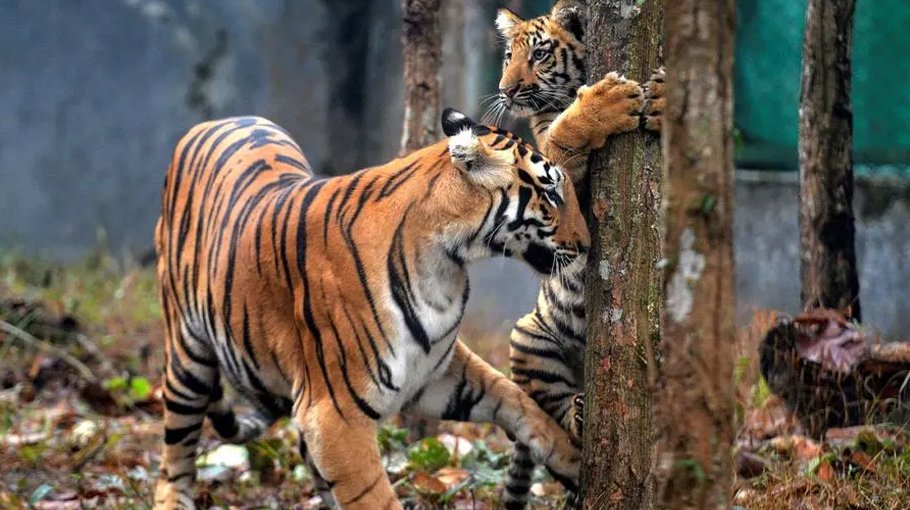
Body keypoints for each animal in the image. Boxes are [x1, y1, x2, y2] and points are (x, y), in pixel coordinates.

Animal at [152, 108, 593, 509]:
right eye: (551, 193)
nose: (588, 244)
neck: (447, 264)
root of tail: (214, 122)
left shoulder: (435, 372)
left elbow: (516, 400)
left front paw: (573, 459)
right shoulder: (335, 414)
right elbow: (372, 495)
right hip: (186, 357)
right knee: (174, 453)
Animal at [491, 2, 665, 508]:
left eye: (539, 53)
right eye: (508, 55)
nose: (506, 89)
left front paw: (663, 97)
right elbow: (564, 133)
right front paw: (606, 101)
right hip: (529, 336)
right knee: (561, 416)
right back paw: (582, 414)